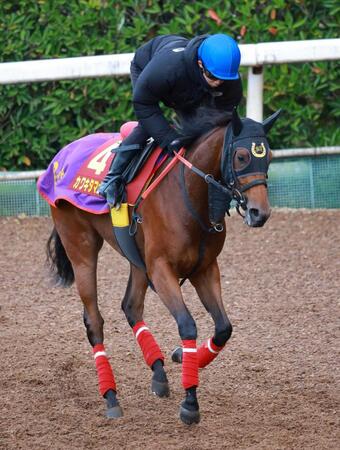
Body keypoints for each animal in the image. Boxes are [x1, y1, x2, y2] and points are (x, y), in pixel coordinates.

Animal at [45, 107, 280, 424]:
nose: (259, 213)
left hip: (136, 257)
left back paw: (158, 372)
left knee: (131, 306)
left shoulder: (205, 268)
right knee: (94, 321)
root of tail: (61, 156)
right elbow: (188, 325)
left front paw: (184, 356)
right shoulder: (161, 269)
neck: (190, 195)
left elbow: (223, 328)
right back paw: (111, 397)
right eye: (242, 156)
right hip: (81, 248)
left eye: (269, 156)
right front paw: (190, 401)